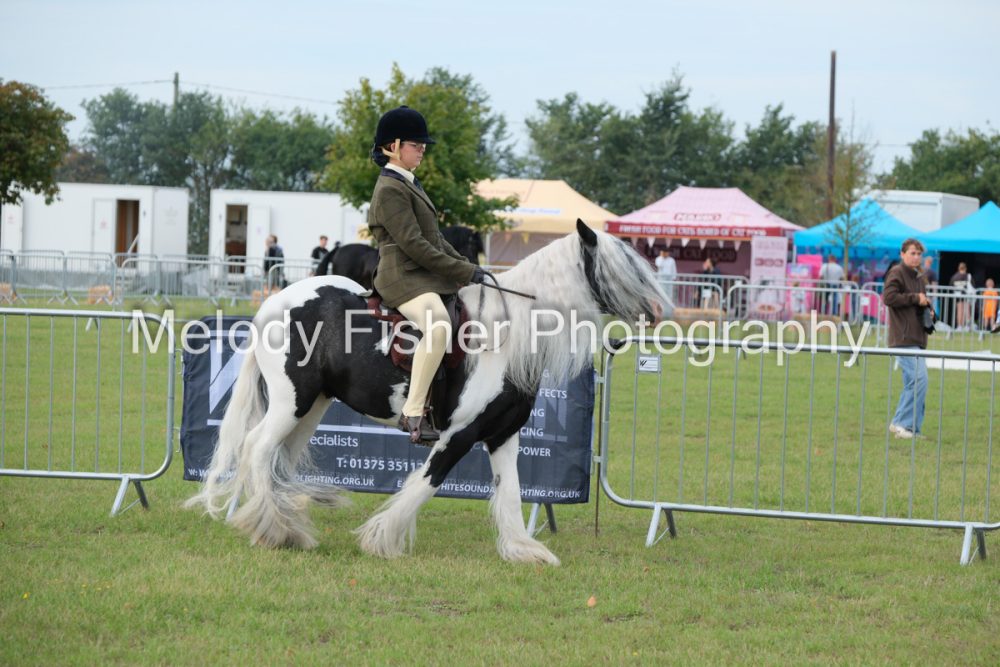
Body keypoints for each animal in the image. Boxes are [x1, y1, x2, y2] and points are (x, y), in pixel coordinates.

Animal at [185, 221, 667, 565]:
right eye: (622, 267)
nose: (659, 311)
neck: (506, 335)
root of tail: (273, 304)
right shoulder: (457, 435)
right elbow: (425, 484)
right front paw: (381, 539)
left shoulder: (502, 435)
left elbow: (510, 492)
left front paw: (524, 550)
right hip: (291, 403)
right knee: (257, 448)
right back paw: (274, 529)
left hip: (313, 407)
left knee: (278, 459)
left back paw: (287, 527)